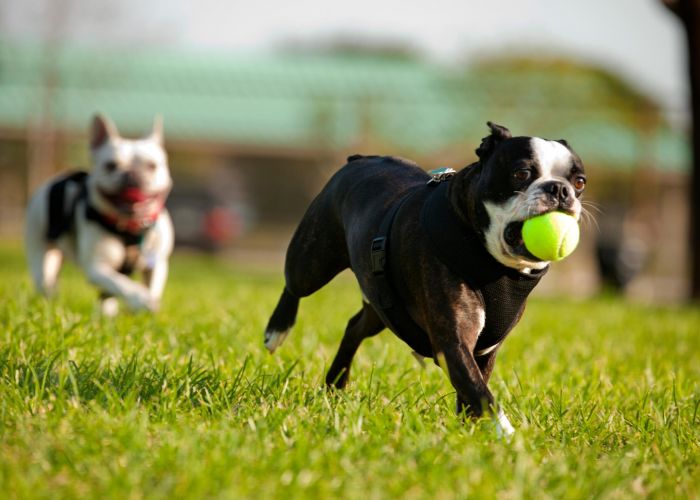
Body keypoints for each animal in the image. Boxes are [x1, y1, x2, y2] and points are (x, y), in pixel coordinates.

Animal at [27, 114, 175, 314]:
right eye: (110, 165)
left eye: (152, 166)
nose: (131, 174)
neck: (129, 227)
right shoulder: (97, 267)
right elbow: (121, 283)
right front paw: (139, 299)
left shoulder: (157, 264)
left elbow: (151, 286)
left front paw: (146, 304)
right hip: (40, 252)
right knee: (46, 282)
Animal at [266, 123, 588, 436]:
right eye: (521, 174)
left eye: (580, 182)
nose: (560, 189)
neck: (495, 265)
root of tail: (359, 159)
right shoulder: (453, 342)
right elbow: (481, 394)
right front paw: (508, 437)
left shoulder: (485, 351)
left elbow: (472, 392)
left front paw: (469, 433)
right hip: (313, 260)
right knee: (294, 285)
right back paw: (277, 331)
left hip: (383, 305)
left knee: (355, 326)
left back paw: (335, 384)